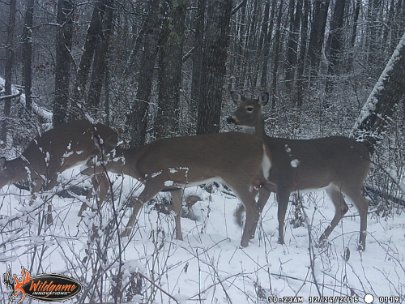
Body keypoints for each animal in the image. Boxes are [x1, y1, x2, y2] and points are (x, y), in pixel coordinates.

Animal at [81, 132, 272, 248]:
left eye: (94, 158)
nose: (82, 171)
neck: (137, 162)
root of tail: (262, 146)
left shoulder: (157, 179)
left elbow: (138, 202)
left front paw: (124, 233)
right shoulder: (176, 186)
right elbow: (178, 211)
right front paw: (179, 239)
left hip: (237, 176)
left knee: (253, 208)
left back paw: (243, 244)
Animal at [226, 91, 370, 251]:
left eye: (249, 108)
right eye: (237, 105)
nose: (230, 118)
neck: (269, 150)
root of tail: (367, 152)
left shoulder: (285, 183)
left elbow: (280, 215)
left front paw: (280, 242)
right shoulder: (266, 186)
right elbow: (257, 209)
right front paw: (247, 232)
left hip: (351, 180)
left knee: (363, 206)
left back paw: (361, 246)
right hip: (333, 186)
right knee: (342, 208)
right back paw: (320, 241)